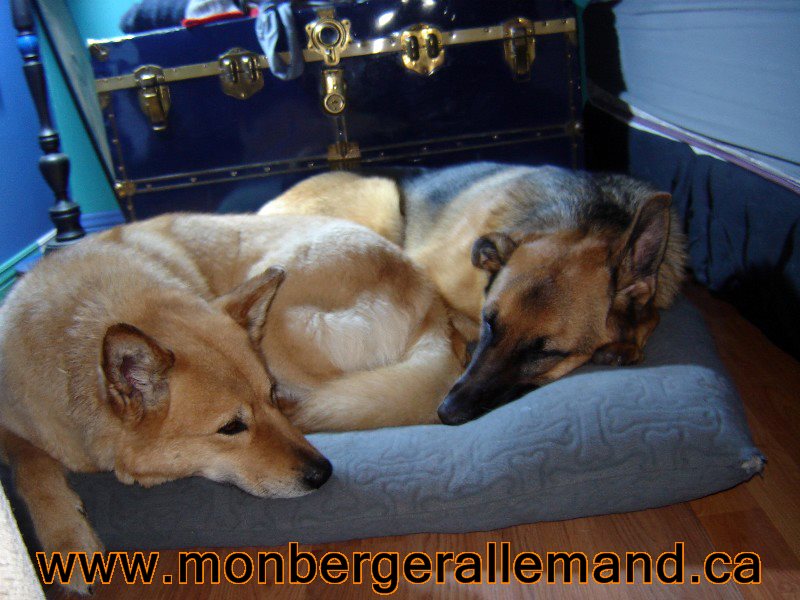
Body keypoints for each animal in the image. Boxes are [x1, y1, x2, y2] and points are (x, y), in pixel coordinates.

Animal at [0, 213, 463, 593]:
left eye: (269, 396)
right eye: (231, 428)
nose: (323, 473)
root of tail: (429, 302)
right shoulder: (14, 426)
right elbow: (31, 466)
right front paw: (66, 538)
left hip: (283, 331)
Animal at [259, 163, 687, 424]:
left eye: (546, 352)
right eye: (490, 323)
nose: (447, 412)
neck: (584, 218)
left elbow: (650, 315)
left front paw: (625, 344)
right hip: (381, 201)